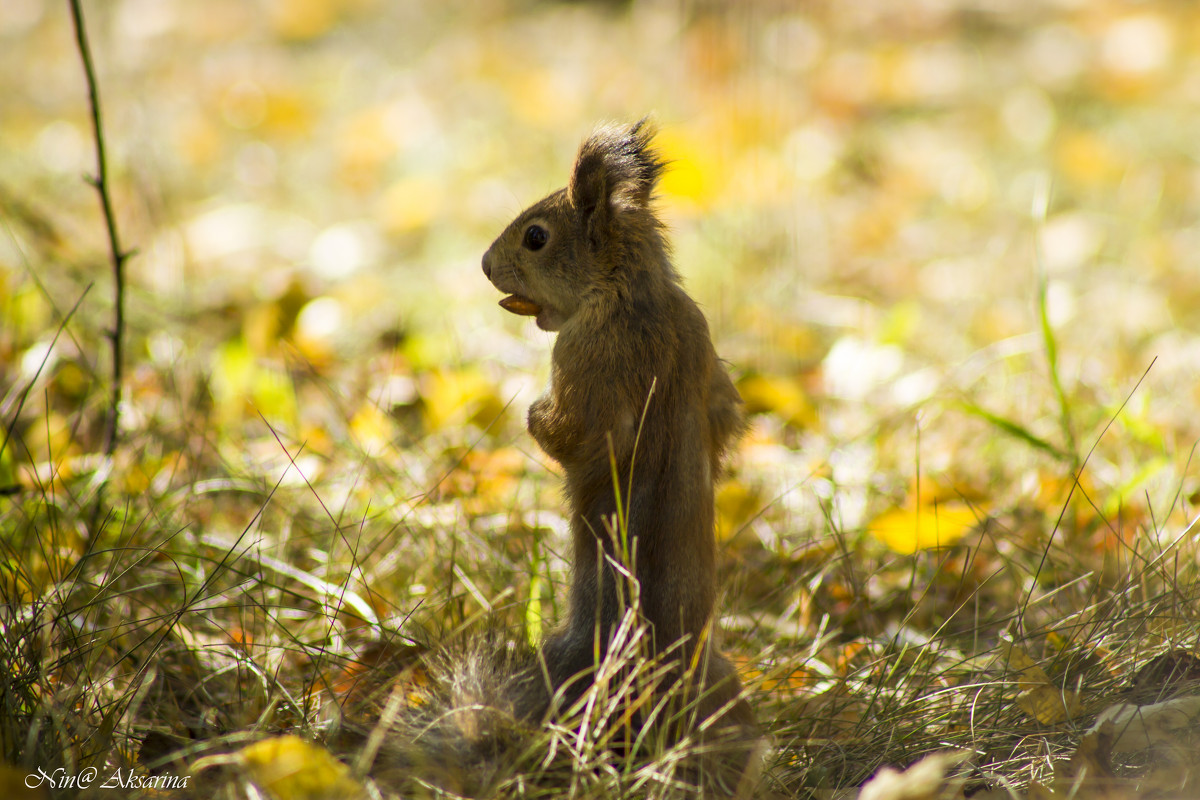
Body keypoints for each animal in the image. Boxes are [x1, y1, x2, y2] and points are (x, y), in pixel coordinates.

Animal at [350, 120, 753, 800]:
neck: (631, 293)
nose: (486, 266)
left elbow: (575, 432)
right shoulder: (704, 358)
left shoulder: (586, 358)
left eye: (535, 237)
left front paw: (536, 415)